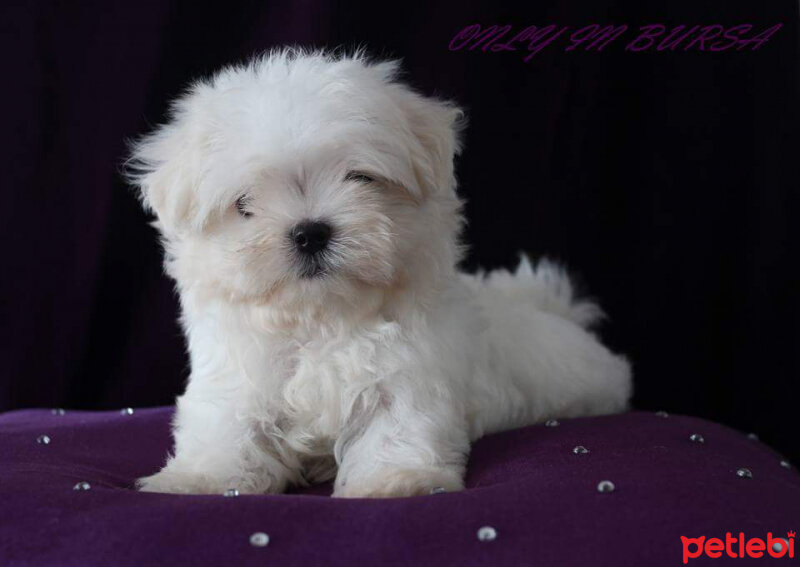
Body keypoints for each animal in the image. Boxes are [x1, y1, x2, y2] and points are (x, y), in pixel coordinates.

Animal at [130, 51, 632, 500]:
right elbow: (227, 431)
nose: (310, 232)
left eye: (360, 178)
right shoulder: (236, 376)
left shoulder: (412, 373)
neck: (321, 319)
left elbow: (397, 427)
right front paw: (199, 479)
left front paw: (397, 482)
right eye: (244, 203)